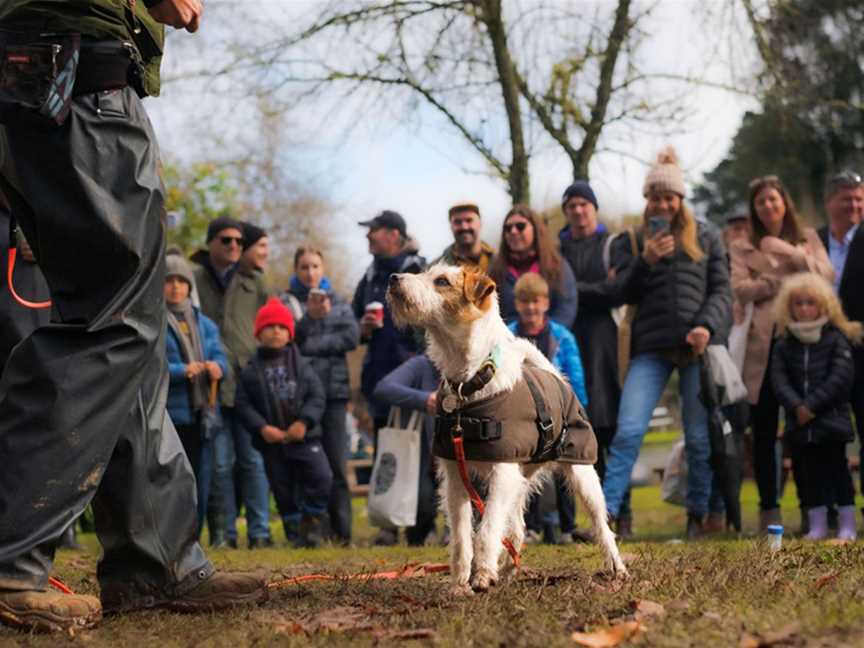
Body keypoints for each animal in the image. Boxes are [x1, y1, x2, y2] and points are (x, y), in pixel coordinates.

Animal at [388, 262, 624, 592]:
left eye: (442, 281)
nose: (393, 278)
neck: (469, 385)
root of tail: (554, 375)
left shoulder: (502, 473)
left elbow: (487, 530)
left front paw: (483, 574)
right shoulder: (457, 477)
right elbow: (462, 538)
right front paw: (460, 583)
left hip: (582, 474)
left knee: (602, 525)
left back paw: (616, 565)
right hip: (519, 479)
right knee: (516, 529)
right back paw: (510, 570)